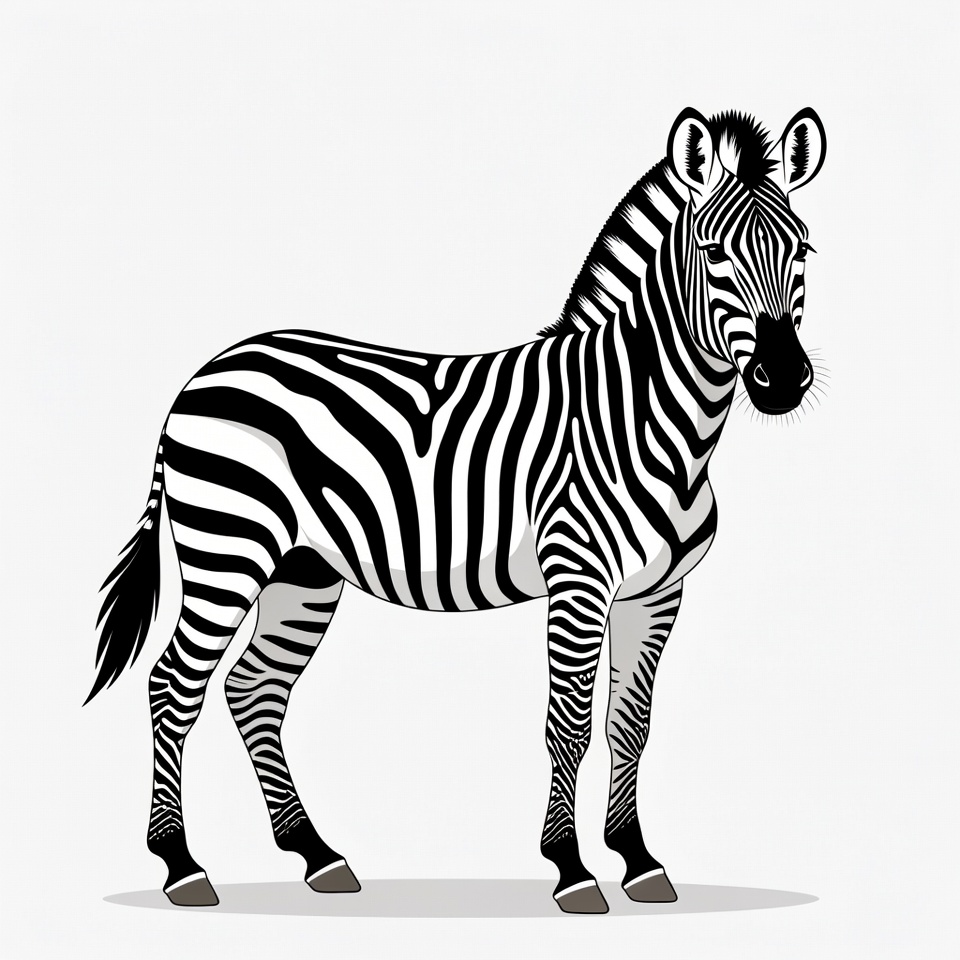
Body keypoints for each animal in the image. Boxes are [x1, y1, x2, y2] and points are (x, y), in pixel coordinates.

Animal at [86, 107, 827, 915]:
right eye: (714, 252)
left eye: (803, 251)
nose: (784, 379)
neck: (645, 417)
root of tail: (205, 372)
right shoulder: (577, 578)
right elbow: (569, 723)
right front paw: (572, 869)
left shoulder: (658, 591)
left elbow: (629, 723)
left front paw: (637, 860)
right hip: (228, 549)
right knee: (173, 685)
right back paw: (181, 865)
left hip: (303, 570)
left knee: (255, 689)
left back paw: (317, 854)